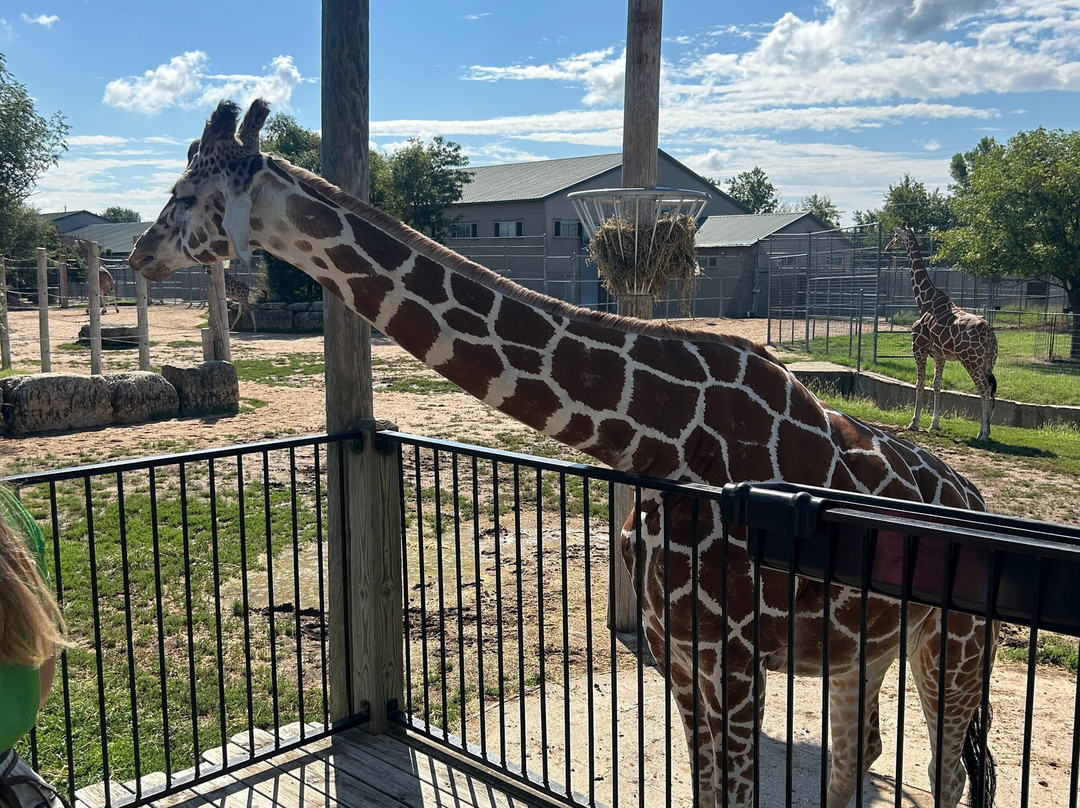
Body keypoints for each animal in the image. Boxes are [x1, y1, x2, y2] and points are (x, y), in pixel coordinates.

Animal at [885, 222, 993, 442]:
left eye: (896, 237)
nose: (887, 247)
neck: (924, 301)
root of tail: (990, 336)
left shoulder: (918, 349)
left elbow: (919, 384)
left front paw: (914, 422)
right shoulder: (940, 355)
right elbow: (937, 384)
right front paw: (934, 424)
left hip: (971, 362)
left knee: (984, 389)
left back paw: (983, 434)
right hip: (988, 362)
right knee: (989, 389)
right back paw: (984, 430)